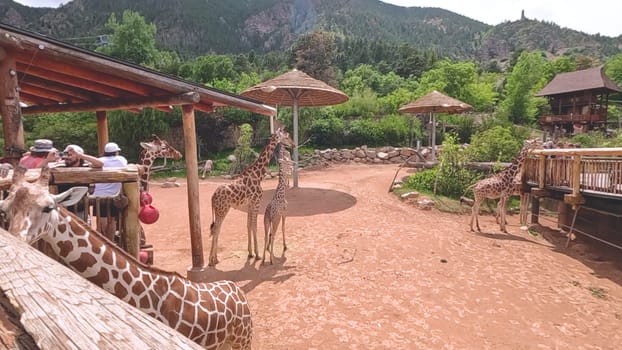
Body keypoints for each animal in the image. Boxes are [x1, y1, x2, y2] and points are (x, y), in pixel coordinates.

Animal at [210, 127, 294, 266]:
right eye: (286, 136)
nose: (293, 145)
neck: (258, 174)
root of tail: (212, 197)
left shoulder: (249, 204)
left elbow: (249, 225)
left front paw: (250, 252)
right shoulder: (256, 202)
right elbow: (254, 226)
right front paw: (258, 255)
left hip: (219, 210)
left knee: (216, 229)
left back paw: (214, 258)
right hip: (223, 209)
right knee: (216, 229)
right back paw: (212, 261)